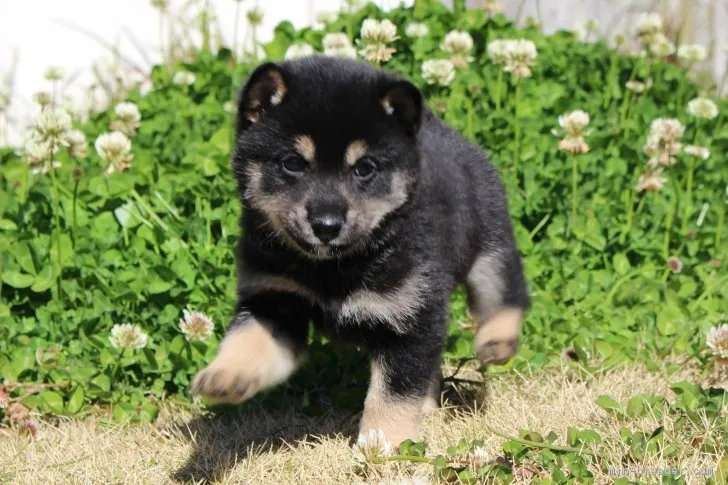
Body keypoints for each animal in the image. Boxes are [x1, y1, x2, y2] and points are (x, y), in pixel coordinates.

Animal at [193, 56, 528, 446]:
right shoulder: (274, 299)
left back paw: (497, 342)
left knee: (505, 293)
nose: (326, 225)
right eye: (292, 162)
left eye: (364, 168)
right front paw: (226, 375)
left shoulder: (410, 314)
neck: (333, 268)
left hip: (489, 244)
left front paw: (383, 445)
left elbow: (394, 393)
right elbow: (250, 341)